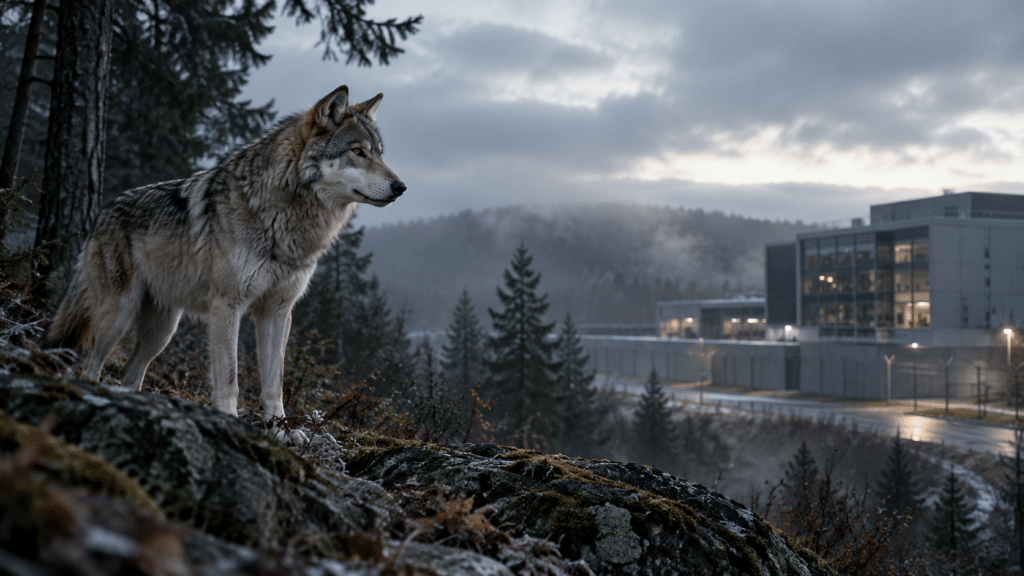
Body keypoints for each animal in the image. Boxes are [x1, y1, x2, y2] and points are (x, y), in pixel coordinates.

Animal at [46, 86, 405, 438]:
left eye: (379, 153)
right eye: (357, 151)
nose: (401, 187)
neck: (283, 216)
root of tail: (103, 212)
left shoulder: (277, 311)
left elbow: (274, 382)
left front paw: (281, 431)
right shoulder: (226, 305)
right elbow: (230, 378)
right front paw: (230, 420)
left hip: (162, 331)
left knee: (128, 373)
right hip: (119, 317)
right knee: (90, 365)